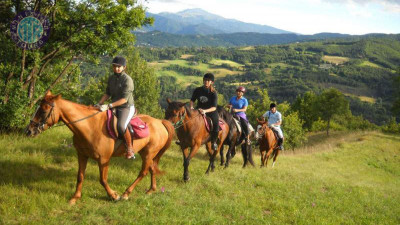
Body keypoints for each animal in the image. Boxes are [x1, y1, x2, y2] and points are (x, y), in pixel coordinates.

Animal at [25, 91, 174, 204]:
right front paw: (75, 198)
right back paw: (151, 190)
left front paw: (114, 195)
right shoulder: (82, 155)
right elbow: (80, 176)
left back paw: (126, 193)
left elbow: (102, 179)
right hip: (146, 153)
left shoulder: (103, 159)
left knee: (143, 172)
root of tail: (160, 122)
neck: (89, 127)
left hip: (149, 153)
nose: (29, 131)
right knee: (152, 169)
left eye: (43, 111)